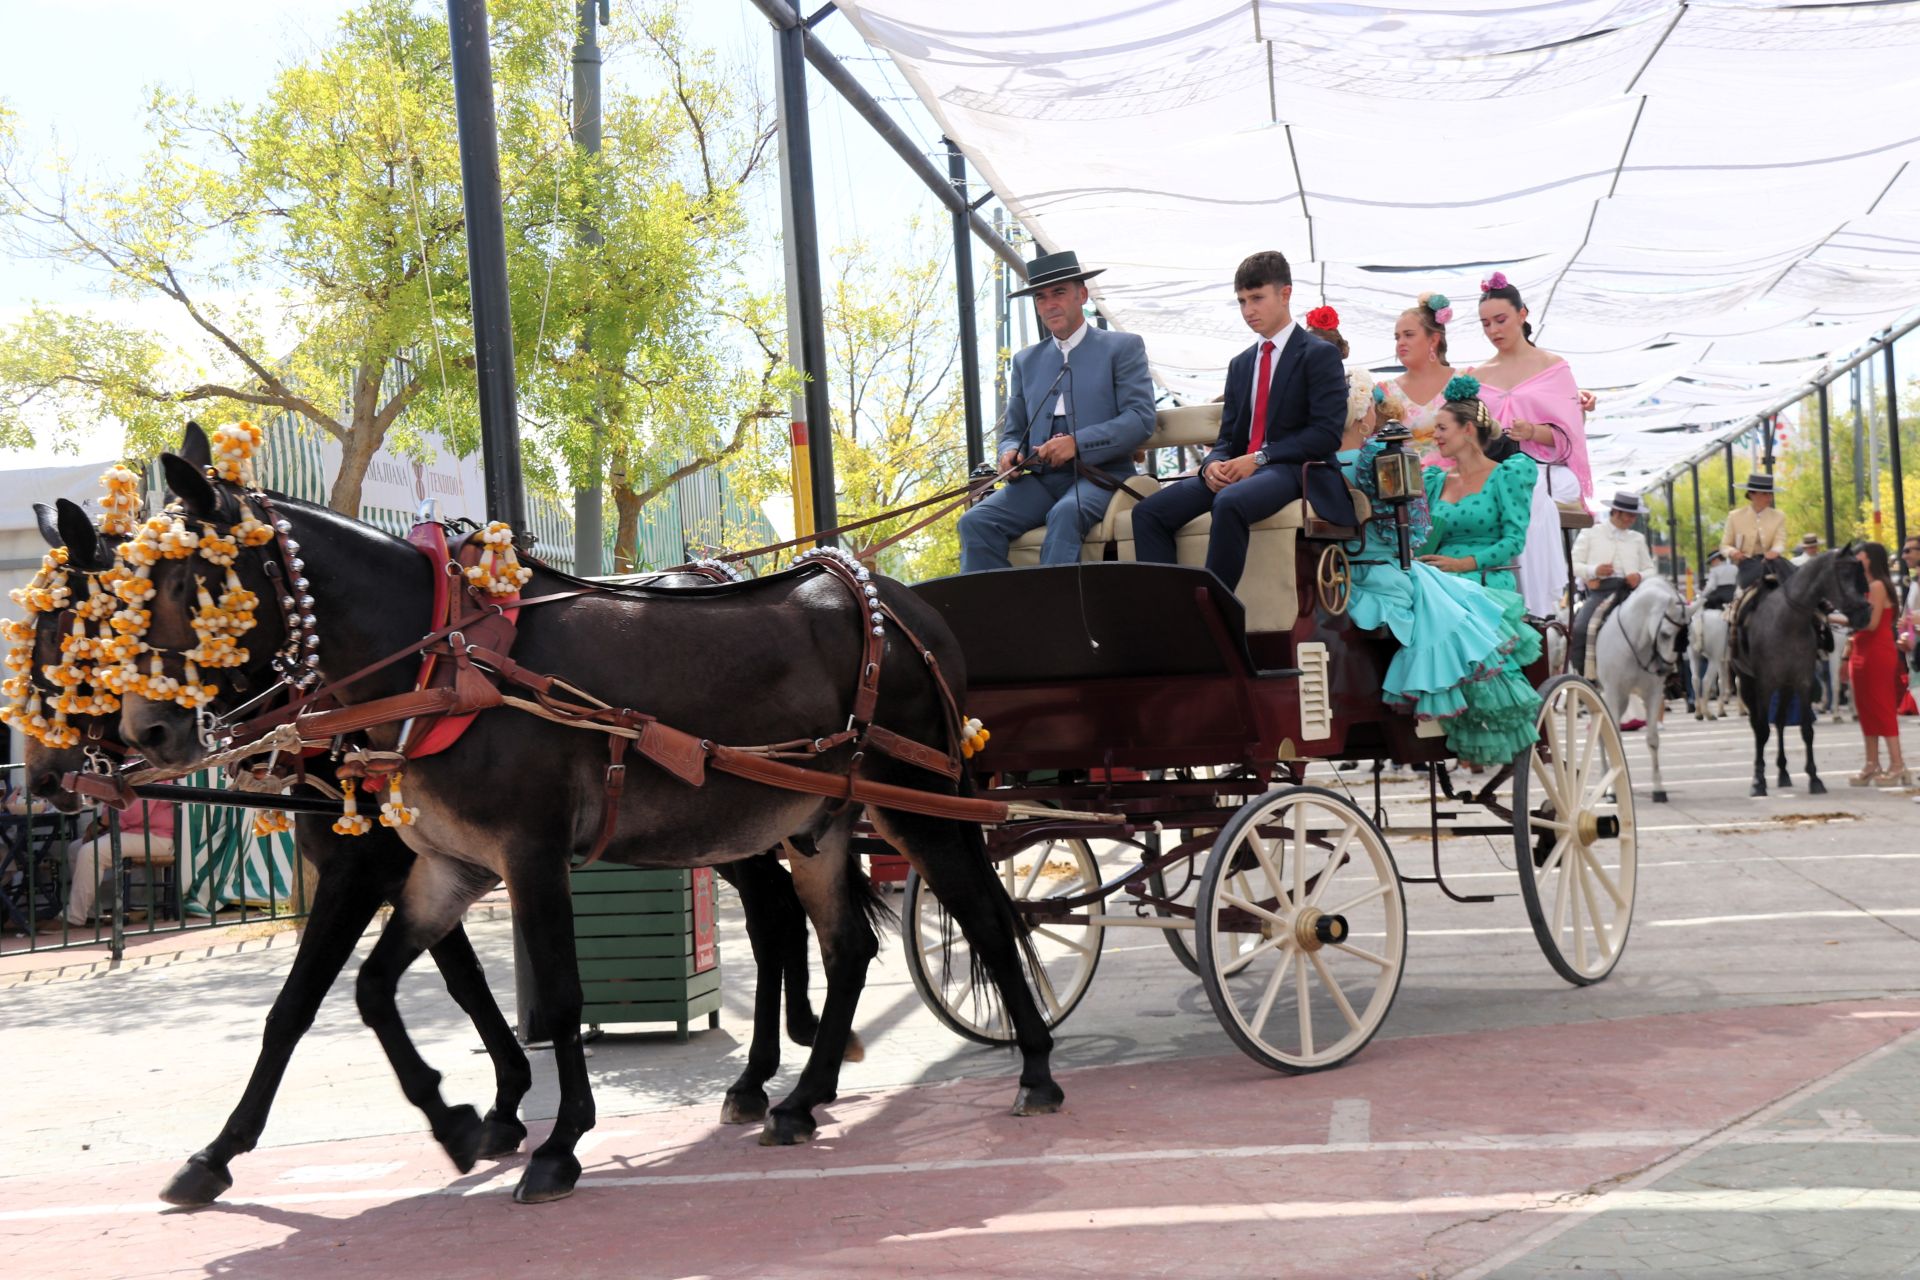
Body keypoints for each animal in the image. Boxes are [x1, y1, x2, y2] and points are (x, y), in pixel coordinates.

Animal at [1589, 579, 1697, 802]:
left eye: (1685, 636)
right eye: (1665, 634)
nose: (1665, 670)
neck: (1636, 643)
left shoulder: (1653, 693)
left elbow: (1653, 739)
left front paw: (1658, 788)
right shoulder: (1612, 692)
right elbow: (1614, 739)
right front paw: (1613, 790)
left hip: (1622, 700)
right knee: (1603, 734)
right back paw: (1606, 783)